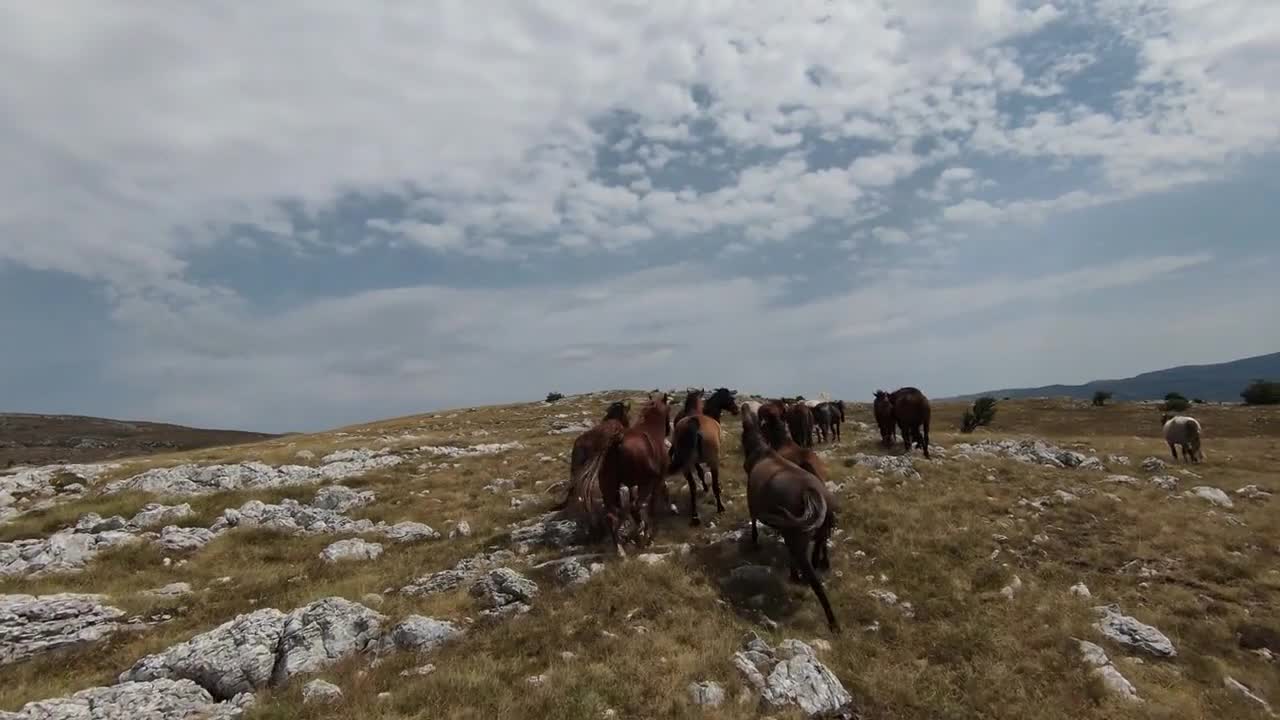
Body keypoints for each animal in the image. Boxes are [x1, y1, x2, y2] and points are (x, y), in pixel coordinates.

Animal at [670, 386, 742, 520]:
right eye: (730, 397)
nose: (736, 410)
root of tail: (695, 423)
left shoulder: (695, 462)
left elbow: (700, 473)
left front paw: (704, 487)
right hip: (713, 461)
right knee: (714, 485)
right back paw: (720, 507)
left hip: (686, 465)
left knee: (692, 486)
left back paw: (695, 515)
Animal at [742, 399, 839, 630]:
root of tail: (811, 492)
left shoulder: (752, 504)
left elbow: (753, 524)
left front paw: (755, 542)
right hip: (814, 531)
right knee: (818, 549)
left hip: (797, 537)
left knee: (811, 576)